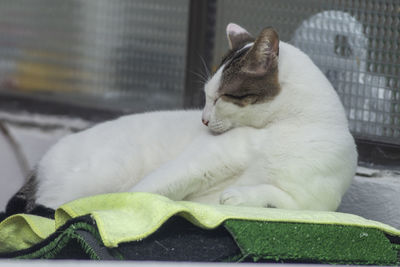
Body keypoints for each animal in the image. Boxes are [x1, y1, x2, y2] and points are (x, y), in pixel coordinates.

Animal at [4, 23, 358, 219]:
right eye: (206, 96)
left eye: (220, 98)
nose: (203, 120)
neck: (284, 131)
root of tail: (42, 160)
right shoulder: (204, 161)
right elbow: (146, 191)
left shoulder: (313, 203)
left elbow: (274, 198)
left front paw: (237, 197)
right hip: (102, 175)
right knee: (53, 207)